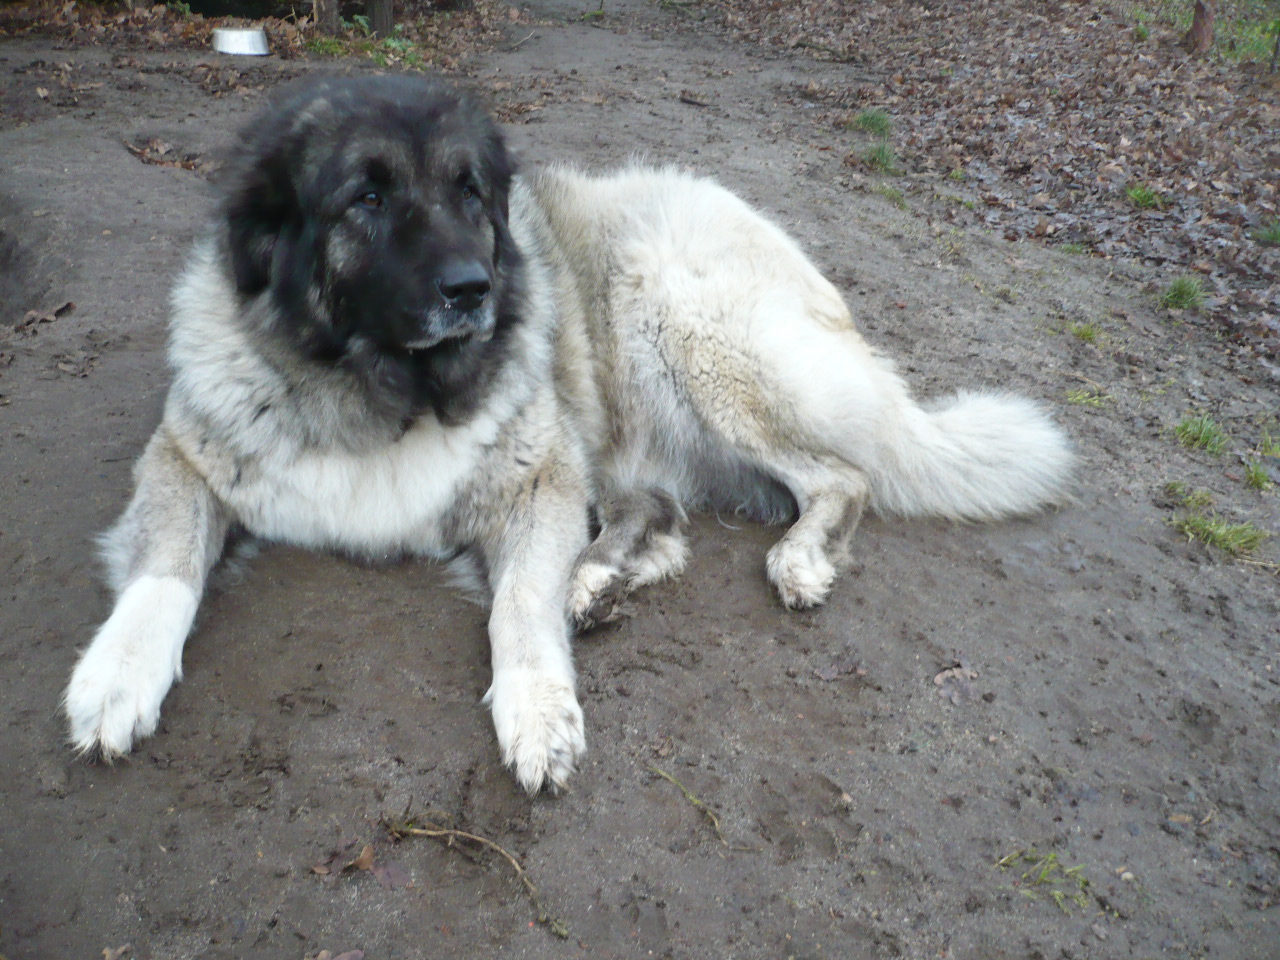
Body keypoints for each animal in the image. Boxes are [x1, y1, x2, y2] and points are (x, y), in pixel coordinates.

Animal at [64, 75, 1072, 794]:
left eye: (471, 194)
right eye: (365, 199)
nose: (472, 288)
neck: (378, 392)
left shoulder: (538, 474)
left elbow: (518, 601)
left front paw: (539, 708)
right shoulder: (185, 457)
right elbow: (164, 571)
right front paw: (117, 674)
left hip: (677, 321)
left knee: (838, 477)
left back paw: (787, 560)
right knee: (666, 519)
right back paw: (598, 581)